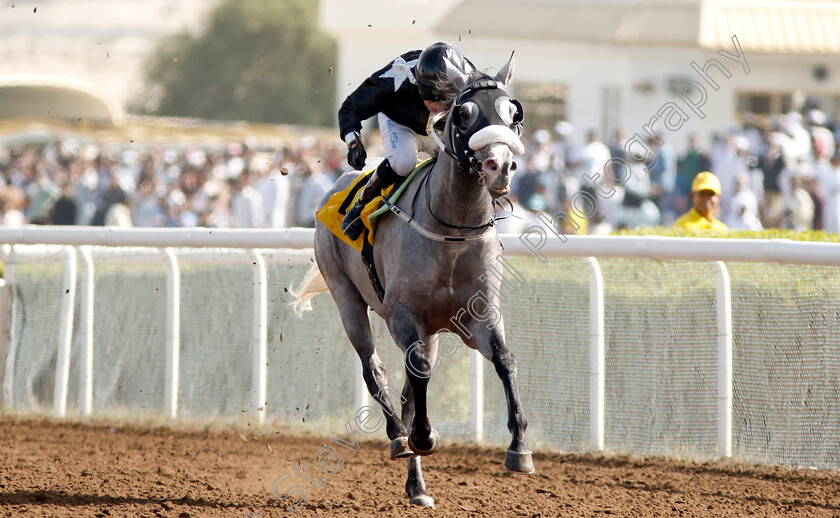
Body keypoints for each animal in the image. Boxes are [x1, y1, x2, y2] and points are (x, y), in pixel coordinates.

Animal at [292, 55, 536, 508]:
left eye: (514, 114)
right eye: (464, 114)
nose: (500, 165)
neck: (451, 231)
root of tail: (334, 188)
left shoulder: (478, 317)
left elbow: (505, 360)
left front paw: (519, 449)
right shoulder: (403, 315)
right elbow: (416, 371)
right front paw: (422, 436)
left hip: (433, 331)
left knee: (407, 390)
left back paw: (417, 487)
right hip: (347, 297)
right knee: (375, 372)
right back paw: (399, 438)